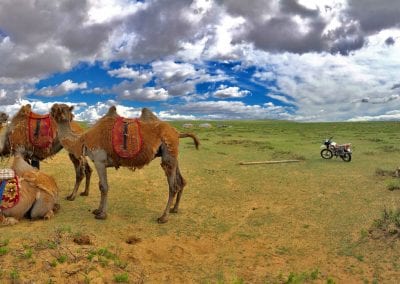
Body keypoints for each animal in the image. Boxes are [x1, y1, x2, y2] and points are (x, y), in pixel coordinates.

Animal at [50, 103, 199, 223]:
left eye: (58, 109)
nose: (51, 108)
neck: (83, 140)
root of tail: (177, 132)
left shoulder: (99, 160)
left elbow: (104, 187)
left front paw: (102, 215)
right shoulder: (100, 162)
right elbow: (100, 186)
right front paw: (97, 210)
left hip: (168, 151)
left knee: (173, 186)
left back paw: (163, 217)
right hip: (171, 154)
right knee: (181, 181)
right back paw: (175, 209)